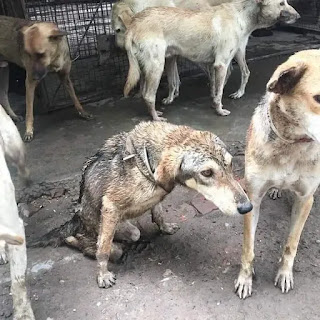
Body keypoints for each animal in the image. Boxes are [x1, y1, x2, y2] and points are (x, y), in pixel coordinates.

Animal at [33, 121, 252, 288]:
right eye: (206, 173)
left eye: (230, 164)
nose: (247, 208)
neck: (144, 160)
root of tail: (76, 218)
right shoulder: (110, 206)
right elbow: (103, 249)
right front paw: (102, 274)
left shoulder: (157, 196)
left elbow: (159, 213)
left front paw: (164, 227)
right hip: (95, 225)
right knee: (100, 241)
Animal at [124, 0, 298, 120]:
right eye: (281, 3)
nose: (299, 16)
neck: (242, 16)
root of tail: (134, 23)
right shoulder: (220, 64)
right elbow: (219, 91)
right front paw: (219, 110)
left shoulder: (217, 64)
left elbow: (216, 88)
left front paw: (214, 102)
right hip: (157, 67)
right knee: (148, 95)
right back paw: (155, 117)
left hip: (149, 68)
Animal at [234, 49, 320, 298]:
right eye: (318, 98)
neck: (292, 143)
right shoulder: (252, 198)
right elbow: (248, 247)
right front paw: (245, 278)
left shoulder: (305, 199)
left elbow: (292, 243)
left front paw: (284, 274)